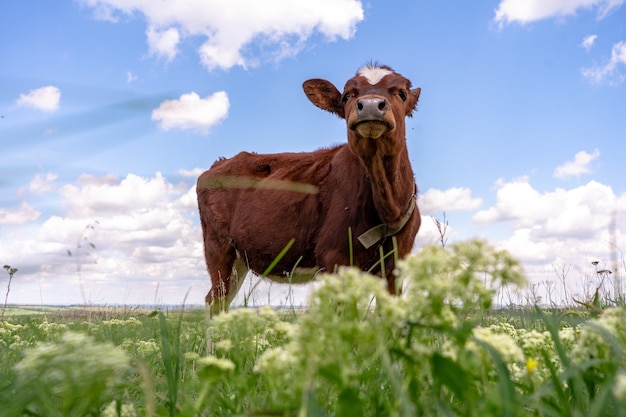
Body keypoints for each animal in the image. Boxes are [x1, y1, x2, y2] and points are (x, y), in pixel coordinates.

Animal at [195, 63, 420, 314]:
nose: (370, 105)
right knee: (215, 300)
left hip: (238, 261)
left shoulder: (397, 264)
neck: (388, 208)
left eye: (401, 93)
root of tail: (221, 162)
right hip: (218, 248)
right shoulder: (335, 258)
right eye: (347, 95)